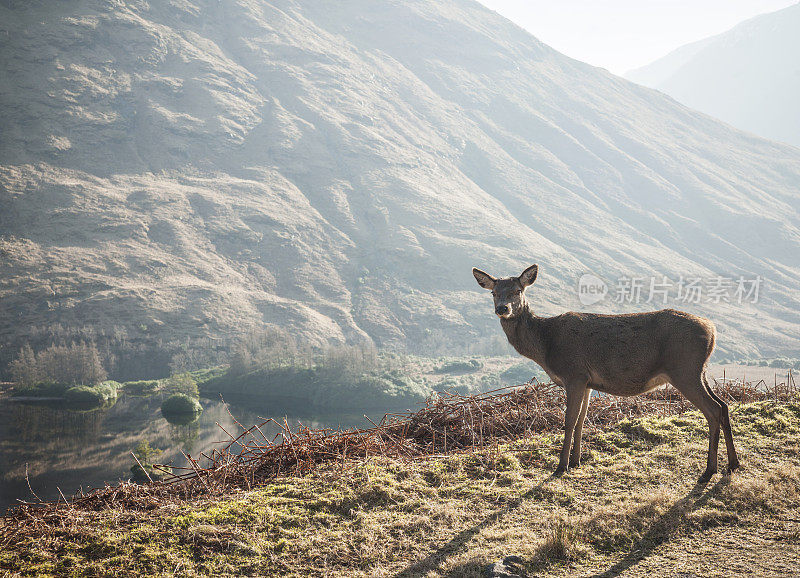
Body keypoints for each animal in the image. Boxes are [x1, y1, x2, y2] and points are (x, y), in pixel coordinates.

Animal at [472, 264, 740, 480]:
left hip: (684, 369)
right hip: (699, 370)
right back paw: (733, 464)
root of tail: (712, 330)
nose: (502, 308)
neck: (546, 346)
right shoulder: (587, 382)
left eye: (518, 291)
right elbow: (582, 419)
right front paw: (576, 460)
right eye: (494, 292)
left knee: (713, 410)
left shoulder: (574, 373)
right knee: (724, 405)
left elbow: (569, 421)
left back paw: (709, 470)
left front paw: (560, 466)